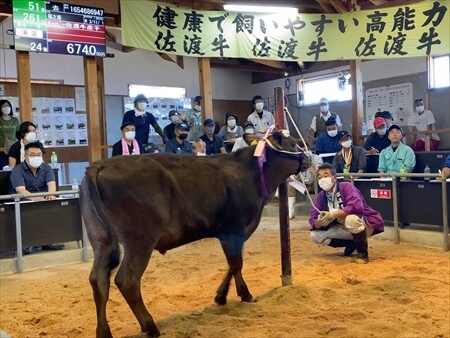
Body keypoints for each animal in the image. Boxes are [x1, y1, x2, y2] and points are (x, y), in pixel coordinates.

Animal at [80, 131, 310, 336]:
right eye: (292, 143)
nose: (308, 157)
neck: (252, 172)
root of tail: (100, 165)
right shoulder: (235, 228)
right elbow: (237, 263)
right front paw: (243, 294)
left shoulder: (226, 232)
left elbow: (232, 263)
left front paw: (222, 296)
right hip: (140, 241)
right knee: (127, 281)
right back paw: (150, 326)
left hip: (101, 240)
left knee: (98, 280)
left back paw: (104, 332)